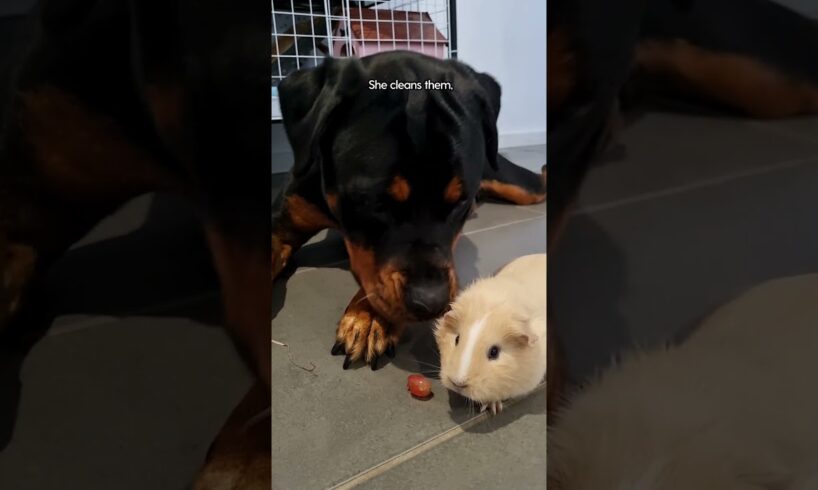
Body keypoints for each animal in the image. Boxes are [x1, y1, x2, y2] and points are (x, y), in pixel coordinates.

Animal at [274, 51, 548, 370]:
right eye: (374, 201)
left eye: (461, 202)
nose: (432, 303)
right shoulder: (284, 217)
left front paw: (369, 317)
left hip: (519, 185)